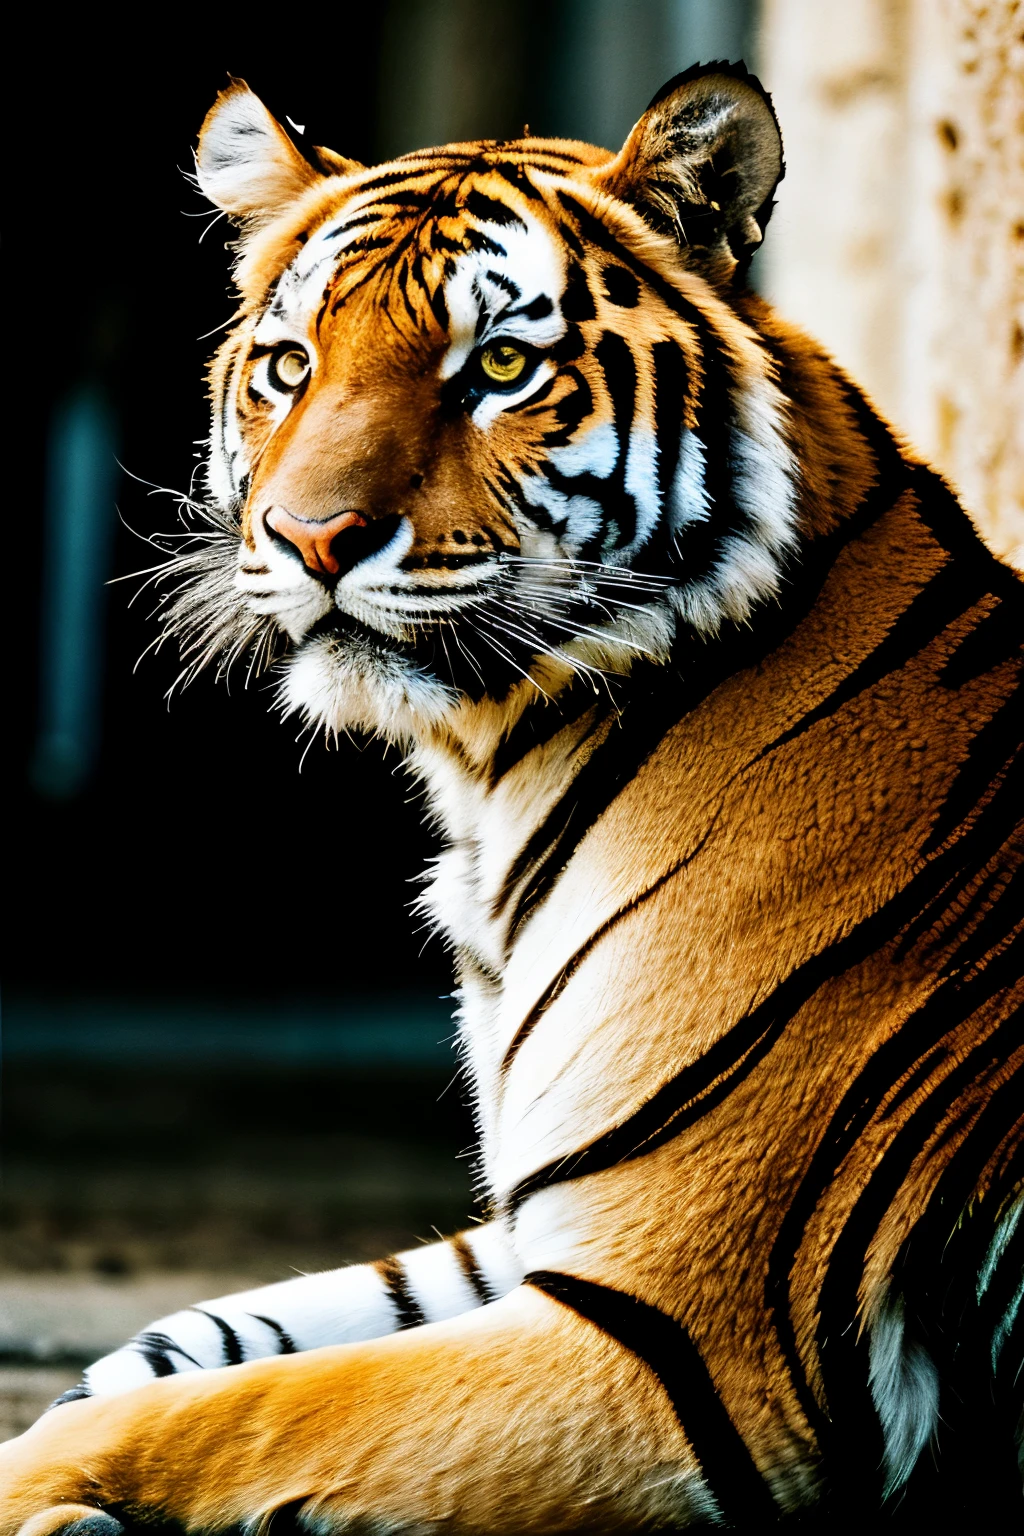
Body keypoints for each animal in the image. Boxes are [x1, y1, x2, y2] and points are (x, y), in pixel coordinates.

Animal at [2, 54, 1024, 1529]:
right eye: (290, 367)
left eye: (498, 366)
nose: (308, 537)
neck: (492, 768)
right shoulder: (537, 1235)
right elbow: (185, 1345)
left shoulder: (668, 1331)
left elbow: (230, 1408)